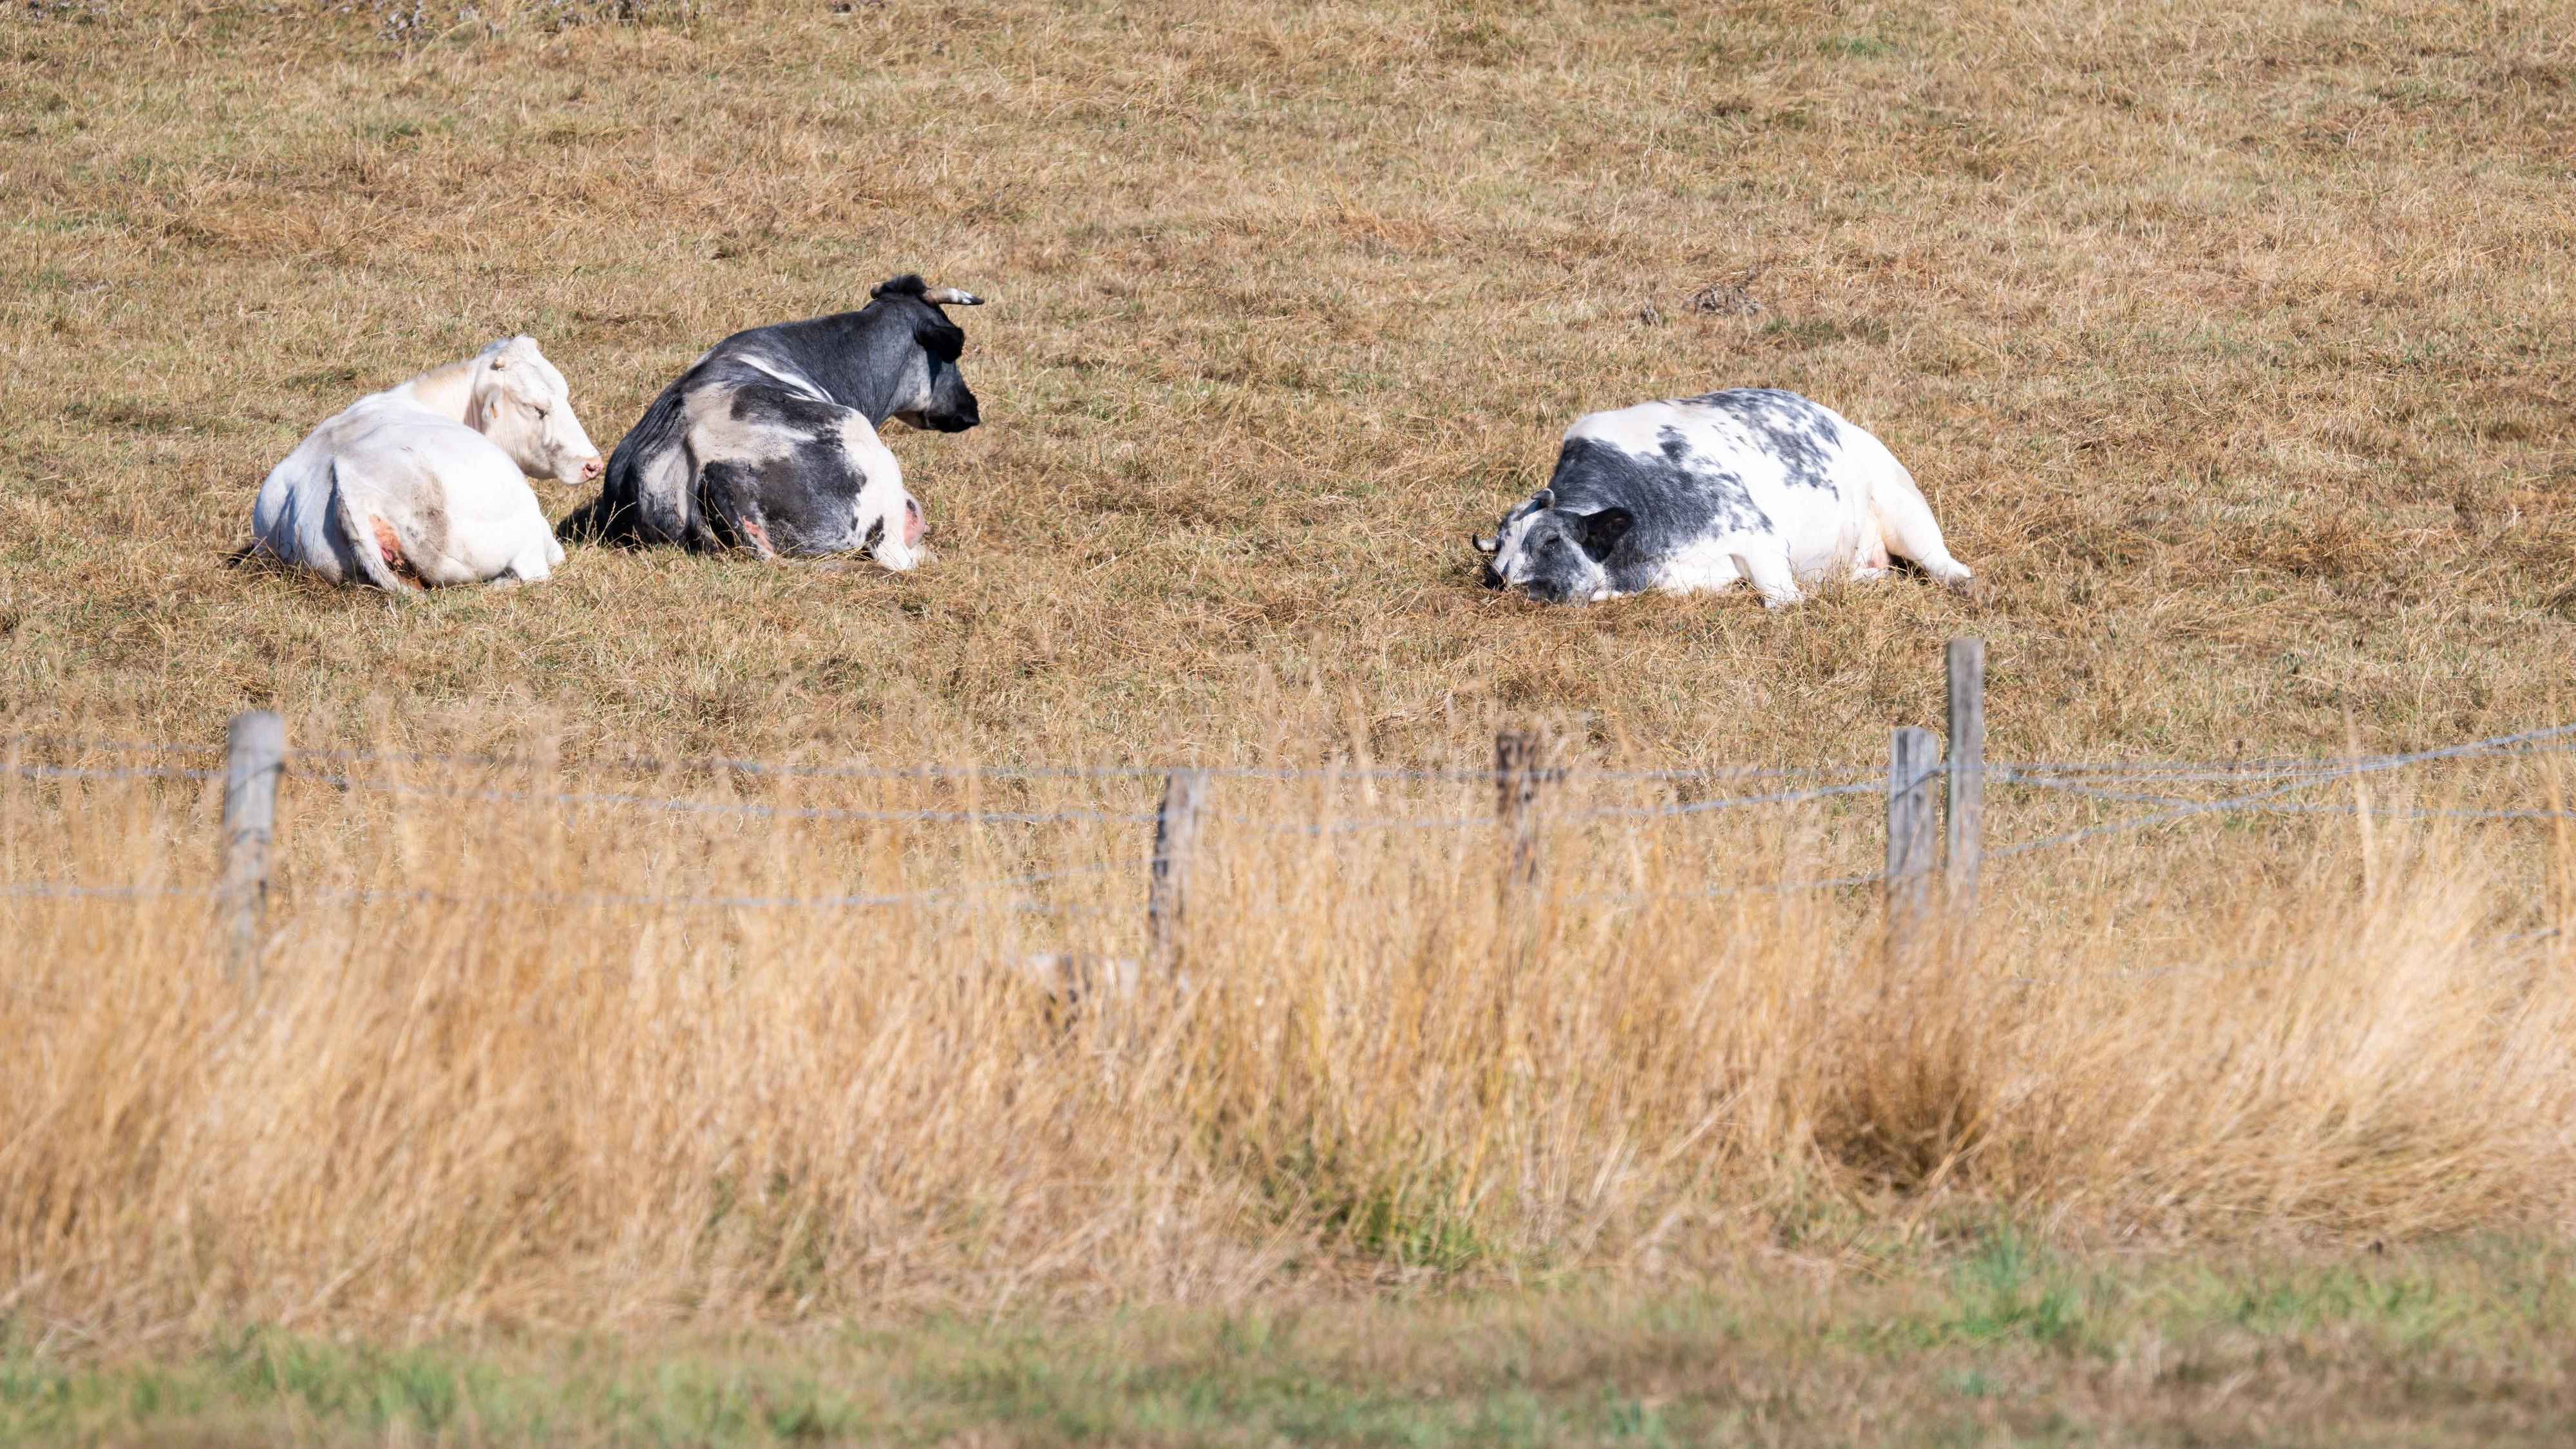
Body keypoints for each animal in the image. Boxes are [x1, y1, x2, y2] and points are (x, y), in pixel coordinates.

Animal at [1473, 388, 1972, 606]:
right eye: (1496, 560)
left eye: (1551, 541)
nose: (1505, 583)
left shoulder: (1758, 533)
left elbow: (1781, 600)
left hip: (1899, 497)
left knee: (1937, 558)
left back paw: (1961, 581)